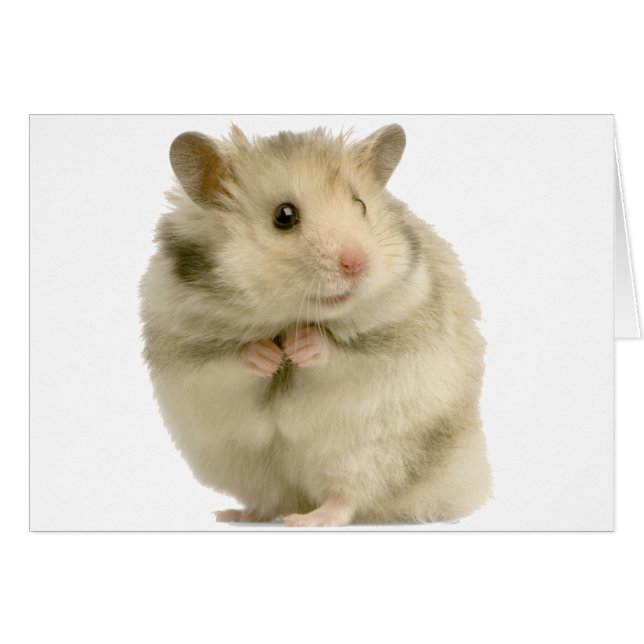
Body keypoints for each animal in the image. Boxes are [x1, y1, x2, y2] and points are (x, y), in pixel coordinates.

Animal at [139, 123, 492, 526]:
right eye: (284, 215)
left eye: (361, 205)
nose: (356, 263)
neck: (288, 316)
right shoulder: (185, 349)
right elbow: (230, 360)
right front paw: (269, 356)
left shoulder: (395, 334)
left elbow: (339, 352)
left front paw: (299, 347)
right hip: (245, 465)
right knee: (271, 498)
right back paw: (237, 514)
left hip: (369, 454)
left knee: (346, 498)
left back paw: (307, 519)